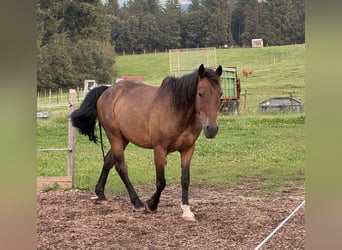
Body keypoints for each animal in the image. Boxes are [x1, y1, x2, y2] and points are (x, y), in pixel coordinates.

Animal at [71, 64, 223, 221]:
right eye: (200, 94)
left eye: (220, 94)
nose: (211, 129)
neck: (176, 111)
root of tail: (108, 90)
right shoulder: (160, 149)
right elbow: (161, 182)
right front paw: (151, 205)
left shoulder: (188, 149)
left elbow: (185, 179)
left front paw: (186, 210)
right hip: (115, 138)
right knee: (121, 168)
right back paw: (137, 202)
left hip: (123, 139)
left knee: (108, 160)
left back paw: (100, 193)